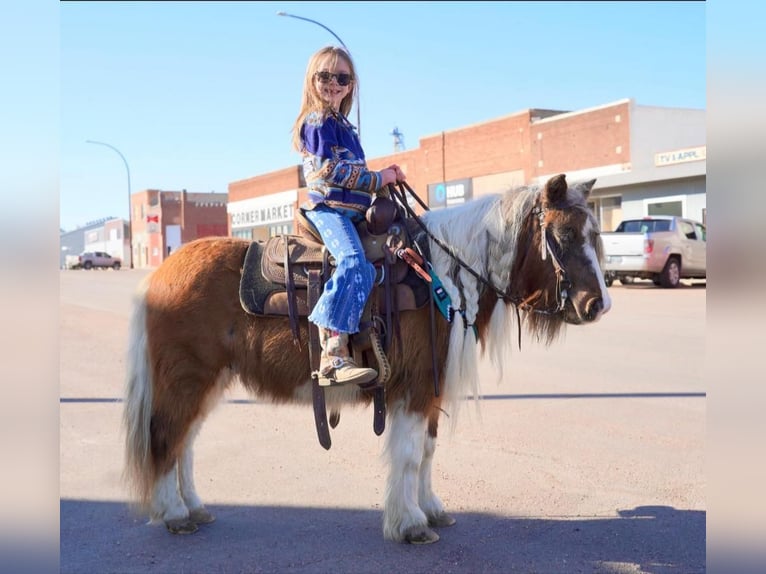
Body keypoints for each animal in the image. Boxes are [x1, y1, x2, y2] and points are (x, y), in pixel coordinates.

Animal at [123, 174, 612, 544]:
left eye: (594, 234)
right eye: (565, 235)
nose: (599, 305)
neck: (442, 275)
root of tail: (160, 274)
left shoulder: (429, 391)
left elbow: (428, 451)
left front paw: (431, 509)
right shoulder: (415, 389)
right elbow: (410, 455)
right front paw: (410, 524)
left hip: (208, 382)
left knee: (184, 443)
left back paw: (195, 508)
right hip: (186, 380)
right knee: (167, 438)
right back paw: (174, 514)